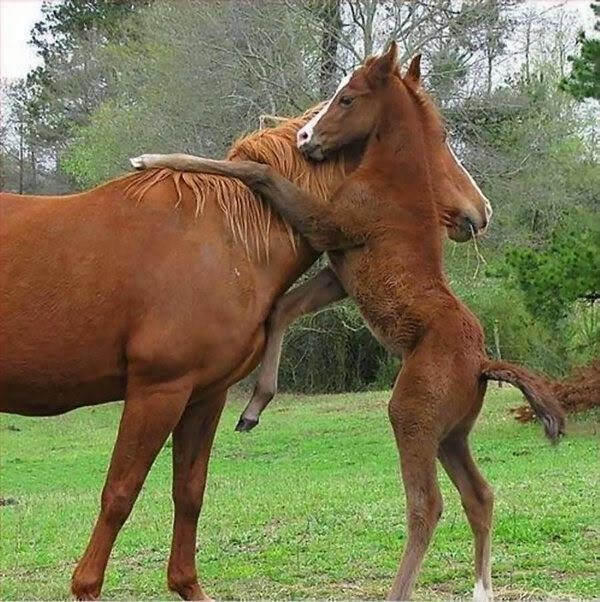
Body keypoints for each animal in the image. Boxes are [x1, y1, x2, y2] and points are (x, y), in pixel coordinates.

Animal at [2, 92, 492, 596]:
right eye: (436, 137)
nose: (481, 211)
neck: (225, 238)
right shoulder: (157, 392)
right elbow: (120, 493)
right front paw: (86, 587)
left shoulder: (204, 396)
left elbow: (189, 493)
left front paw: (187, 585)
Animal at [132, 45, 568, 600]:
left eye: (347, 98)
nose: (304, 139)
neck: (394, 177)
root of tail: (483, 362)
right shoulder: (339, 272)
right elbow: (282, 309)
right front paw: (254, 407)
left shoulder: (330, 226)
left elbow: (258, 175)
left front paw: (151, 159)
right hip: (451, 434)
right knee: (481, 494)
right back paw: (482, 588)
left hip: (411, 416)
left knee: (427, 506)